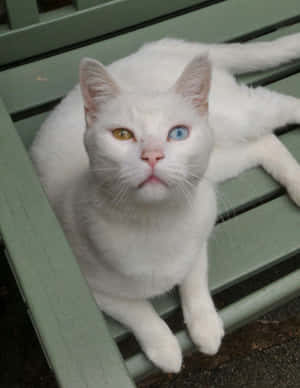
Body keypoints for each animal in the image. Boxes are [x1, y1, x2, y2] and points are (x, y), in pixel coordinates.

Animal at [29, 34, 300, 372]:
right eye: (122, 134)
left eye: (178, 133)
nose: (153, 155)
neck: (157, 223)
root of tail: (154, 47)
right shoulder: (90, 288)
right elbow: (139, 311)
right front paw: (166, 348)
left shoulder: (198, 237)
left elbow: (194, 281)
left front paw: (204, 325)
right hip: (219, 161)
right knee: (264, 143)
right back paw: (297, 183)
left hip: (238, 120)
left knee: (279, 107)